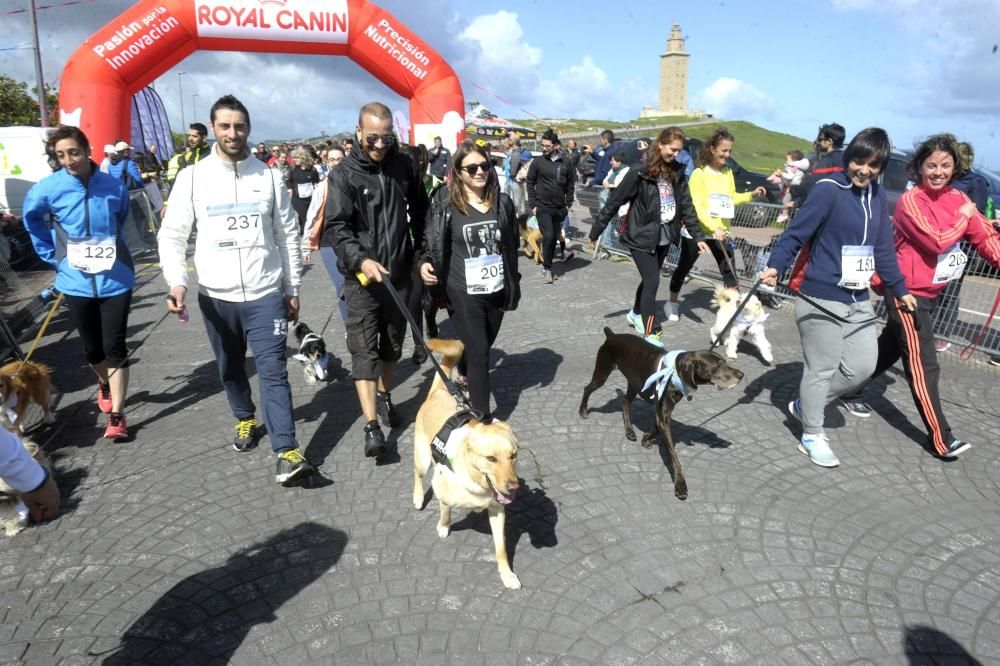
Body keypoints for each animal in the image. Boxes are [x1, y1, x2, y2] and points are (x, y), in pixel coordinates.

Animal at [412, 338, 524, 588]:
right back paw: (417, 497)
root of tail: (440, 390)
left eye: (513, 456)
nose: (514, 488)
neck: (477, 483)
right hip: (423, 458)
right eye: (491, 458)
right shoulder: (444, 494)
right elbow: (445, 513)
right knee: (418, 474)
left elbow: (501, 549)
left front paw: (507, 575)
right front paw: (443, 527)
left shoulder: (497, 510)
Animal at [580, 326, 744, 498]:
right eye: (717, 366)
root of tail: (612, 335)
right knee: (587, 388)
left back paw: (629, 431)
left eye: (725, 362)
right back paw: (583, 410)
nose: (741, 375)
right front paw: (680, 485)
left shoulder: (663, 413)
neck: (675, 371)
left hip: (635, 385)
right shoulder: (662, 414)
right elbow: (674, 457)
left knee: (624, 404)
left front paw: (645, 439)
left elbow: (655, 429)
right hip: (602, 372)